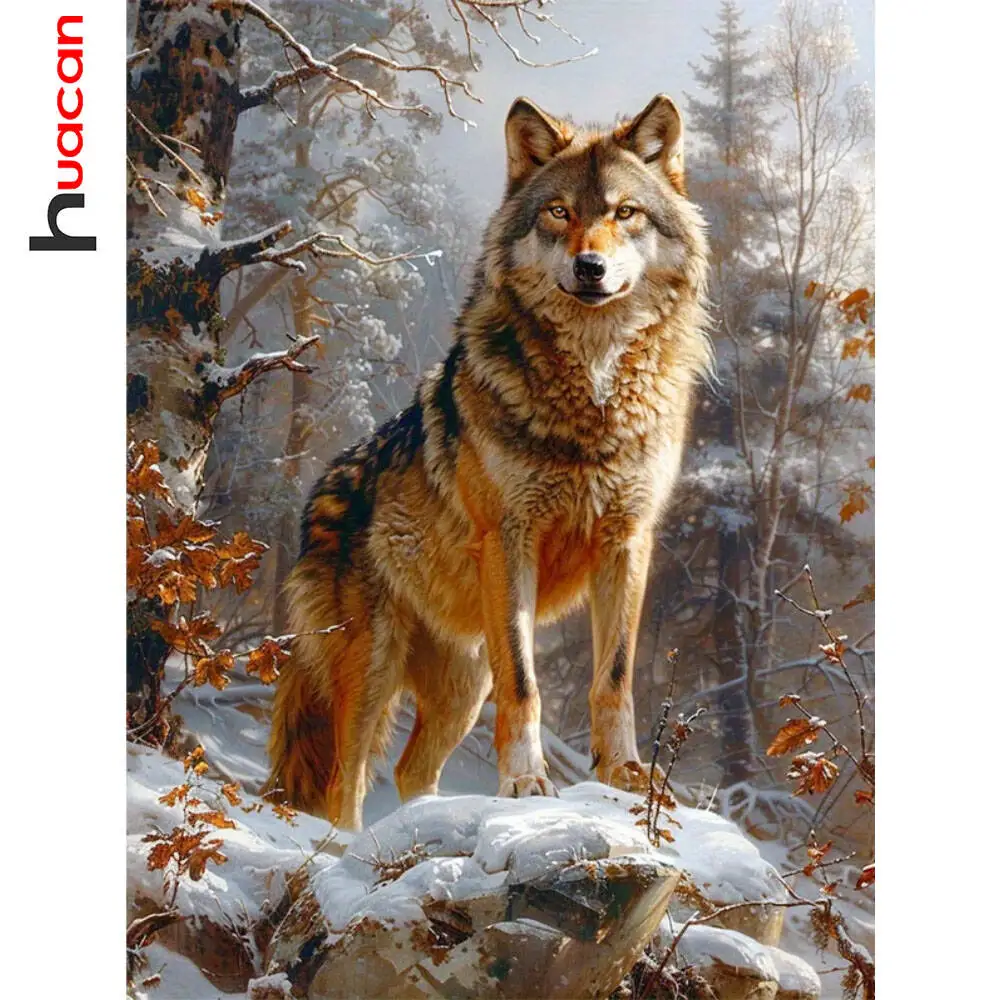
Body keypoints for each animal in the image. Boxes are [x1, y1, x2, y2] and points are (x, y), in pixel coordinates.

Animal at [267, 94, 711, 830]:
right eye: (558, 212)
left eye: (625, 213)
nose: (590, 268)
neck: (592, 390)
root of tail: (323, 490)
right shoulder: (510, 541)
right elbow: (527, 687)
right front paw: (526, 784)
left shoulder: (628, 542)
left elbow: (614, 678)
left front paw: (626, 778)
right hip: (372, 668)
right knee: (342, 782)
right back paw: (350, 843)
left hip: (463, 683)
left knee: (410, 770)